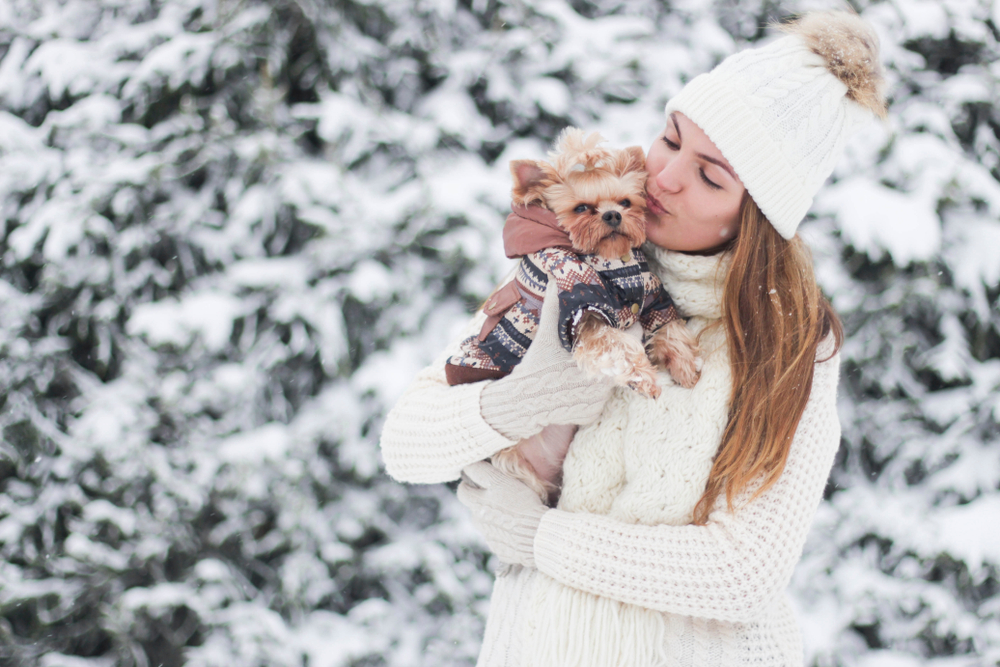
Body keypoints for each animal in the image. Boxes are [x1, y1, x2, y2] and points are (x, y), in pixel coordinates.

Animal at [450, 128, 700, 500]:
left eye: (626, 202)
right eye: (581, 208)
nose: (612, 216)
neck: (612, 260)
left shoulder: (653, 294)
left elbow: (670, 328)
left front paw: (686, 367)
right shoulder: (581, 309)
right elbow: (615, 344)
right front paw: (643, 377)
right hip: (515, 464)